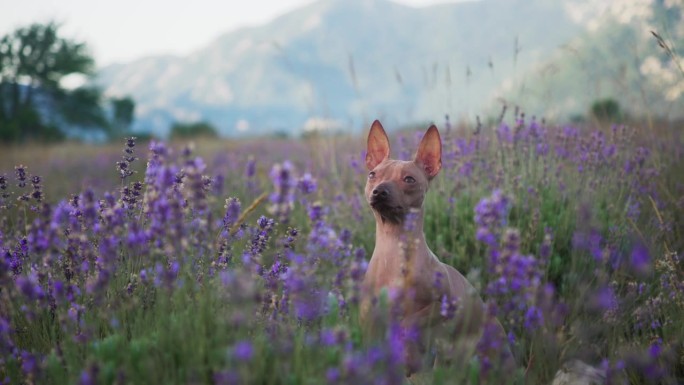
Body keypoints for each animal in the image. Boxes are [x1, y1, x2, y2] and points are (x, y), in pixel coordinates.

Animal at [358, 121, 512, 380]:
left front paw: (408, 354)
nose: (379, 190)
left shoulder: (442, 306)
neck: (395, 248)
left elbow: (409, 324)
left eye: (409, 179)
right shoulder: (369, 315)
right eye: (373, 175)